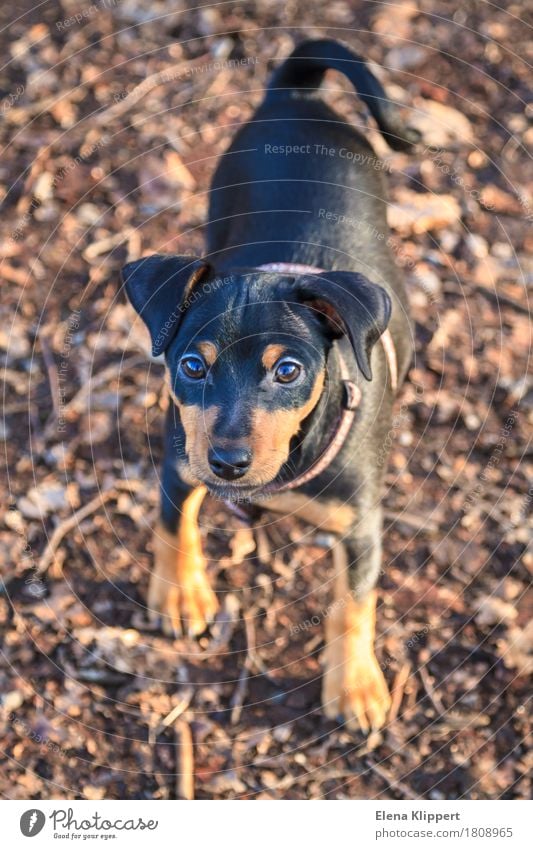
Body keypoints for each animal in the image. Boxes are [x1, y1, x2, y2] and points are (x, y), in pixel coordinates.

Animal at [122, 39, 418, 728]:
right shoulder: (179, 456)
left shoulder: (361, 524)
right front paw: (180, 595)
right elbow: (173, 521)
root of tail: (297, 92)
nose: (228, 463)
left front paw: (356, 687)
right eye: (192, 366)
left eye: (288, 371)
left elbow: (353, 602)